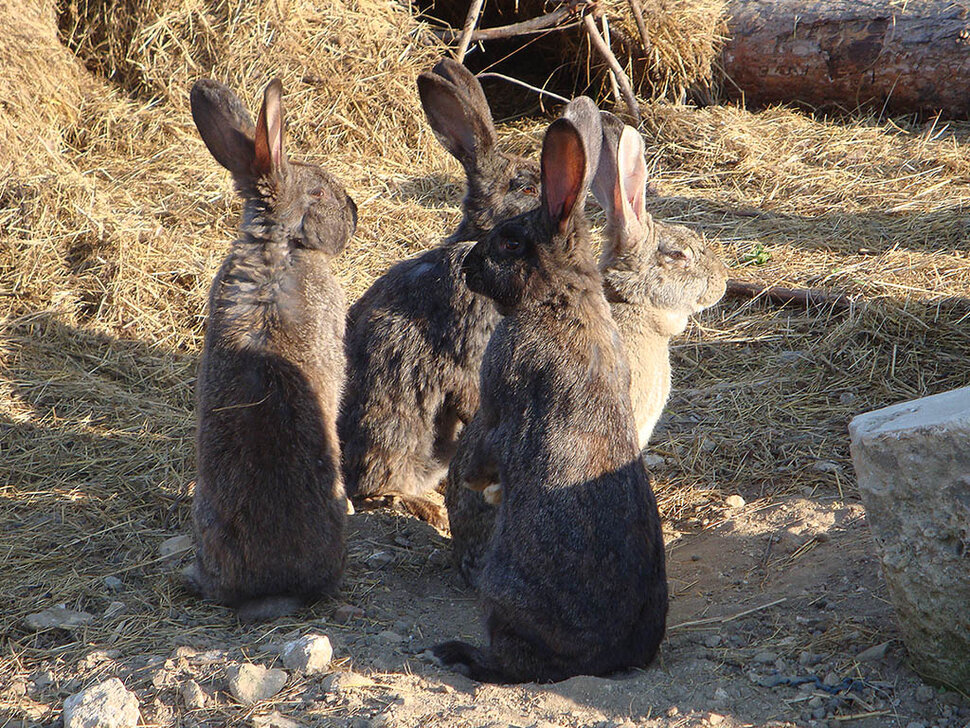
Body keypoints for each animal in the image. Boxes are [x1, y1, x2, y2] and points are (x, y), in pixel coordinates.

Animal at [434, 96, 668, 684]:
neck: (561, 295)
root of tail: (604, 660)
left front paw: (477, 483)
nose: (469, 266)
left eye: (510, 241)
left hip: (502, 595)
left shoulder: (499, 393)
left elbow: (484, 446)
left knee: (512, 661)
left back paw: (457, 652)